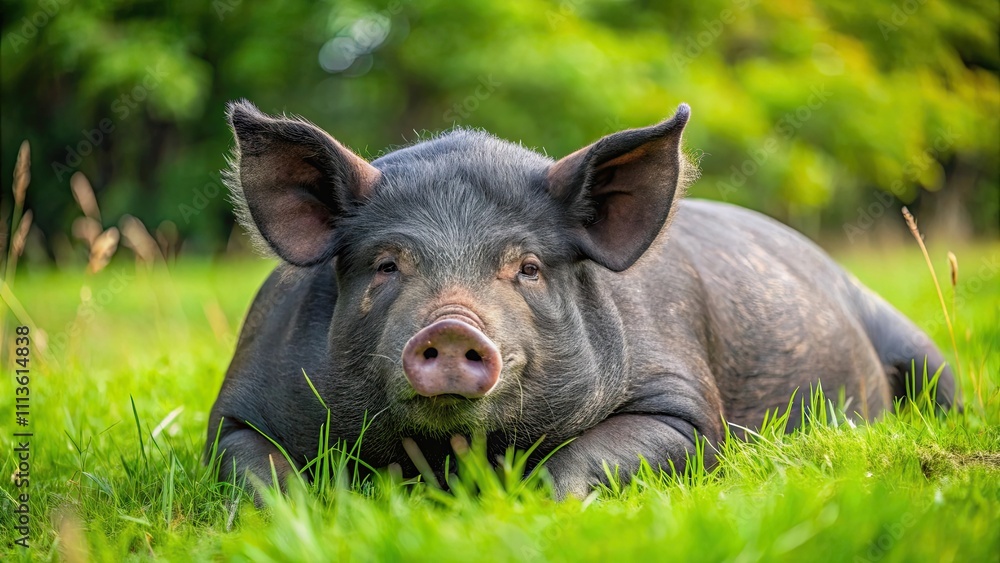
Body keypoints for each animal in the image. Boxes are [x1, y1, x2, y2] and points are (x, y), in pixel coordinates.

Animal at [206, 100, 957, 500]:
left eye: (529, 268)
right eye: (387, 264)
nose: (451, 328)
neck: (449, 457)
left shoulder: (685, 405)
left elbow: (593, 454)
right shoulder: (235, 407)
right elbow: (259, 470)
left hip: (916, 341)